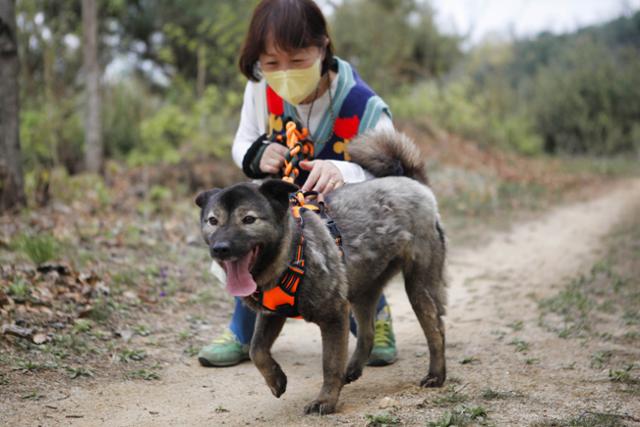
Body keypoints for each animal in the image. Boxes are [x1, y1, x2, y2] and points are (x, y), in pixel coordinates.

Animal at [195, 130, 444, 414]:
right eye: (213, 221)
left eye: (249, 219)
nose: (220, 248)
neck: (293, 250)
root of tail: (412, 181)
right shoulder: (272, 314)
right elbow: (256, 349)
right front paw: (276, 379)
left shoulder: (334, 315)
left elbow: (330, 363)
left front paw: (325, 400)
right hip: (362, 291)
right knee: (367, 332)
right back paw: (353, 368)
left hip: (418, 286)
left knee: (436, 330)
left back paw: (436, 375)